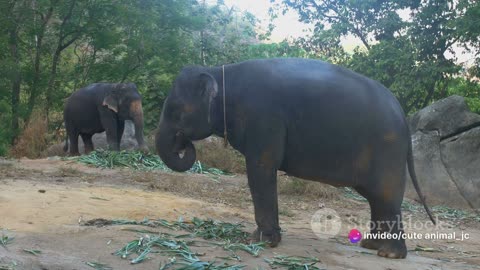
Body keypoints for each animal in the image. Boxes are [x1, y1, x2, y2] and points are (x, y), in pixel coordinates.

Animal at [156, 58, 436, 258]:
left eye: (176, 111)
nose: (183, 143)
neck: (220, 71)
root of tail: (403, 114)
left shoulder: (263, 118)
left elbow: (261, 168)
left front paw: (259, 241)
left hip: (387, 150)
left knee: (385, 196)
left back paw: (388, 255)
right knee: (376, 198)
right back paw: (370, 246)